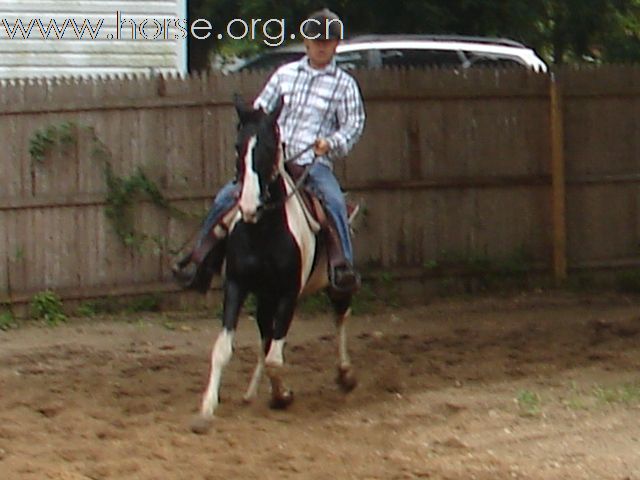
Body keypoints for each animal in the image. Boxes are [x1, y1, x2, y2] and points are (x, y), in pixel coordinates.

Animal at [190, 97, 360, 436]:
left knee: (339, 319)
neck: (264, 230)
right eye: (238, 146)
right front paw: (206, 409)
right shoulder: (237, 286)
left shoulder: (288, 294)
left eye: (270, 147)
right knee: (265, 336)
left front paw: (283, 395)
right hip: (264, 297)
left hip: (336, 285)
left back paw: (345, 374)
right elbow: (224, 348)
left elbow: (275, 360)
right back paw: (251, 392)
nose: (248, 205)